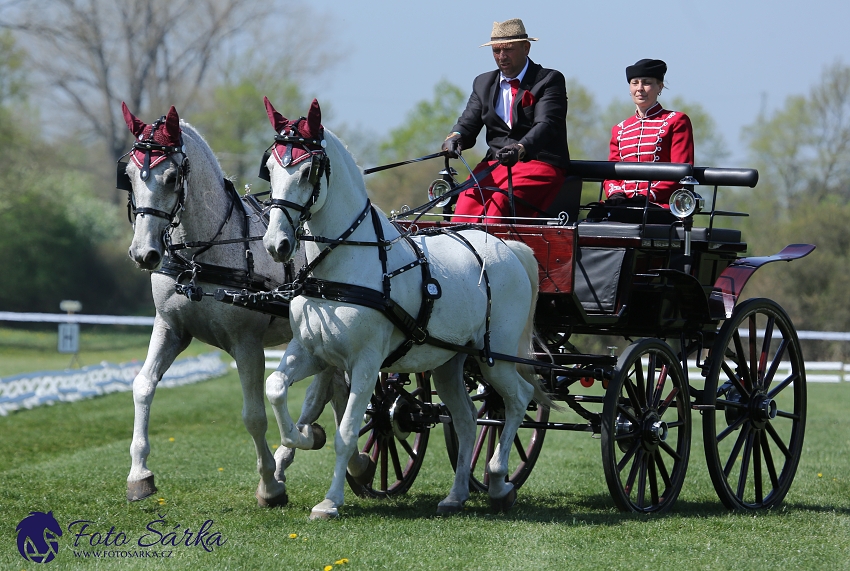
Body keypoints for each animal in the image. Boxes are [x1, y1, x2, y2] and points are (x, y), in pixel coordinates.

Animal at [121, 105, 346, 508]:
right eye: (129, 175)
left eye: (171, 176)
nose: (144, 253)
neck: (202, 254)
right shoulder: (170, 328)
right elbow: (143, 386)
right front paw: (139, 474)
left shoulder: (247, 344)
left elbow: (254, 415)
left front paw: (269, 486)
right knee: (327, 390)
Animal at [258, 98, 548, 520]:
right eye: (270, 168)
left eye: (309, 170)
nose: (276, 243)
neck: (344, 265)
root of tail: (508, 246)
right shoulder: (312, 352)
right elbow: (277, 388)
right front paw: (305, 437)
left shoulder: (365, 363)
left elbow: (347, 431)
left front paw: (330, 501)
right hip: (449, 362)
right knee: (466, 419)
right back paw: (457, 494)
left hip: (496, 357)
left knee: (517, 399)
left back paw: (497, 479)